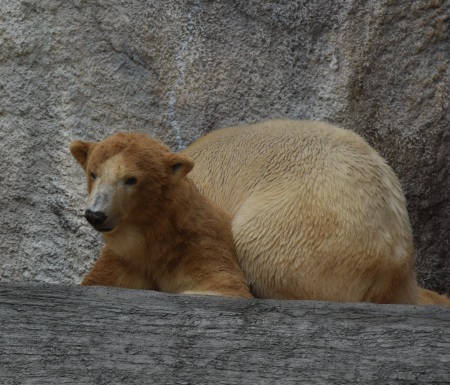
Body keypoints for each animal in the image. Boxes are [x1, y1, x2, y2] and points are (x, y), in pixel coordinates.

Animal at [69, 132, 253, 296]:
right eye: (93, 174)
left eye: (131, 179)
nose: (95, 215)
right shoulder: (122, 260)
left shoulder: (200, 246)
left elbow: (221, 285)